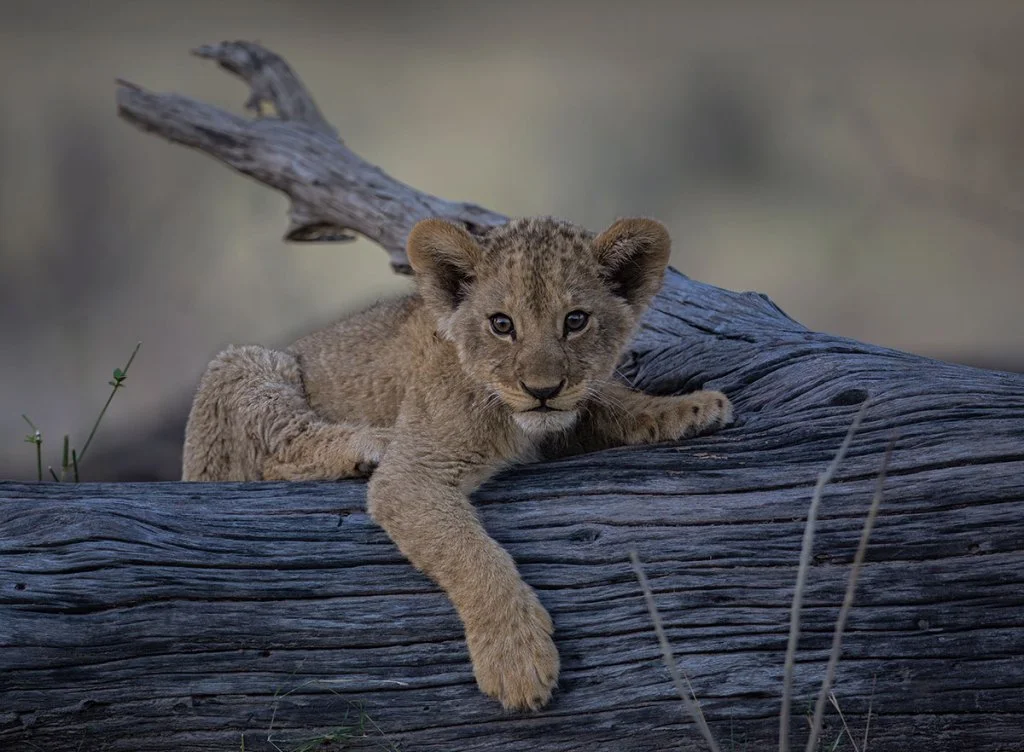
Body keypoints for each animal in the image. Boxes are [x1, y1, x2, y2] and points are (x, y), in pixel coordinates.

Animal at [182, 216, 733, 710]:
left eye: (575, 320)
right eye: (501, 324)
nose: (543, 390)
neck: (513, 418)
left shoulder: (570, 414)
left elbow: (612, 403)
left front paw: (690, 407)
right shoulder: (413, 474)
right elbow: (472, 555)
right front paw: (517, 661)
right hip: (245, 364)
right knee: (277, 452)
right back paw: (367, 444)